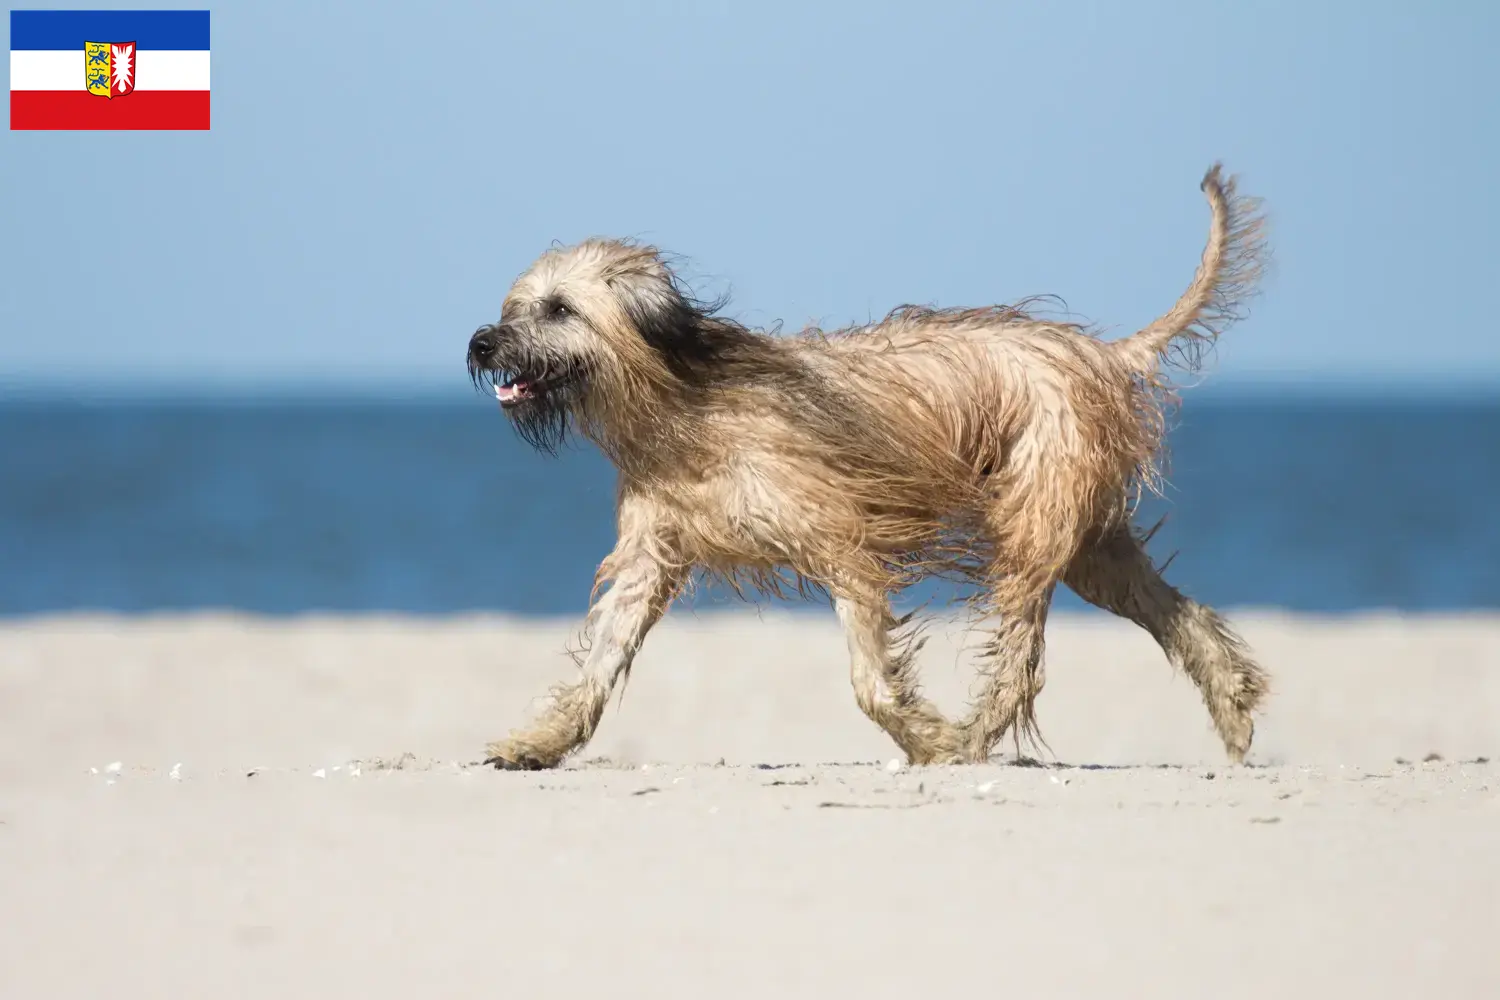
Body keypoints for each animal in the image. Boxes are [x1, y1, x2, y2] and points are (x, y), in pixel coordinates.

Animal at [465, 166, 1266, 773]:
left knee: (1018, 659)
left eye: (559, 309)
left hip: (1034, 525)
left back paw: (975, 737)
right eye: (516, 306)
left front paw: (930, 740)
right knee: (1180, 614)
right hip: (1094, 546)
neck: (680, 406)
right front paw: (539, 744)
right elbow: (599, 663)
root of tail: (1100, 352)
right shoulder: (650, 554)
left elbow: (869, 679)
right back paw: (1233, 708)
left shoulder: (843, 542)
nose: (481, 342)